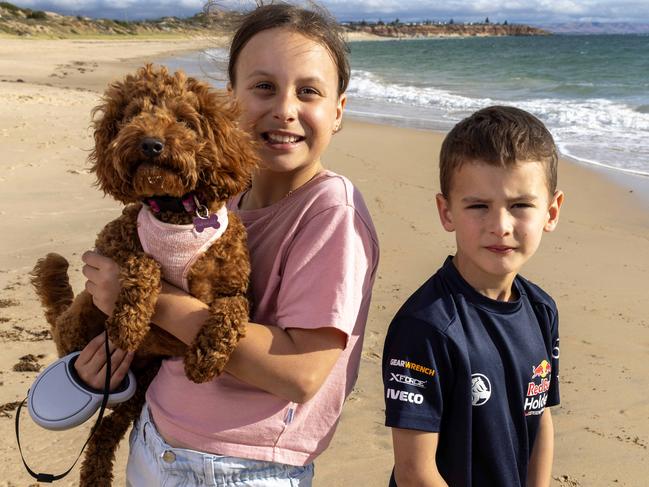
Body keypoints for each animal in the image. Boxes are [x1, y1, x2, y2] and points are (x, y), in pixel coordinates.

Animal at [29, 65, 258, 487]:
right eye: (134, 114)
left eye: (184, 119)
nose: (151, 144)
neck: (178, 213)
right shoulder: (111, 245)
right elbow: (143, 264)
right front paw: (129, 324)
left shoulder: (232, 286)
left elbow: (234, 311)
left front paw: (206, 358)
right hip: (81, 322)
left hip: (143, 381)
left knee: (106, 429)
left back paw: (96, 475)